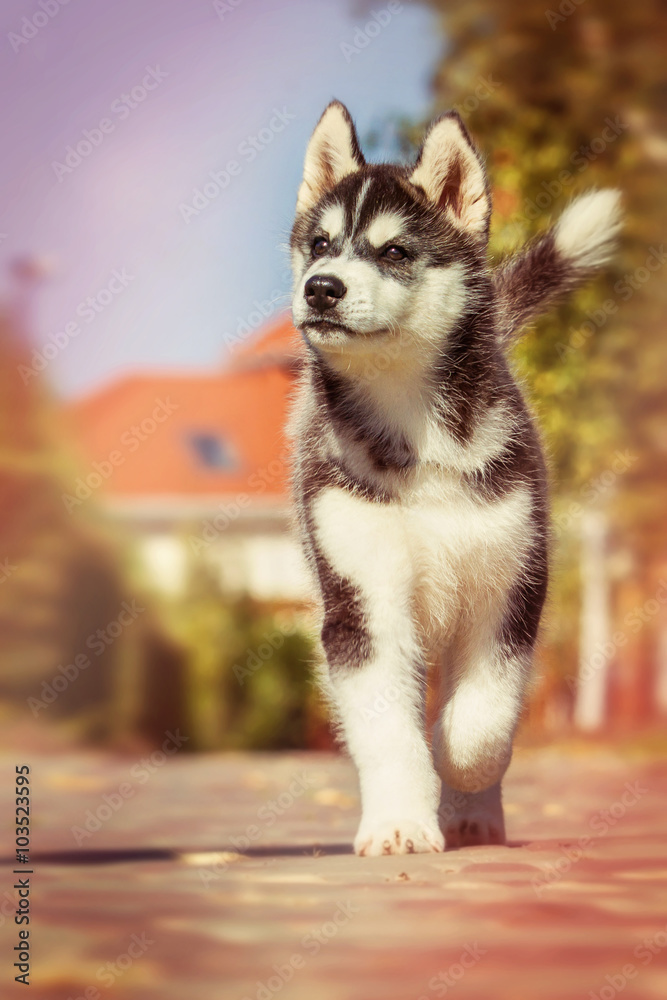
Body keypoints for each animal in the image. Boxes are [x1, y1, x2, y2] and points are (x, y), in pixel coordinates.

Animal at [288, 99, 620, 852]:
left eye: (393, 252)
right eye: (319, 244)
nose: (320, 288)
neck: (417, 436)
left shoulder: (510, 586)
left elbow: (479, 724)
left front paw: (455, 771)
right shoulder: (363, 602)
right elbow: (389, 733)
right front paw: (399, 824)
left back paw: (473, 813)